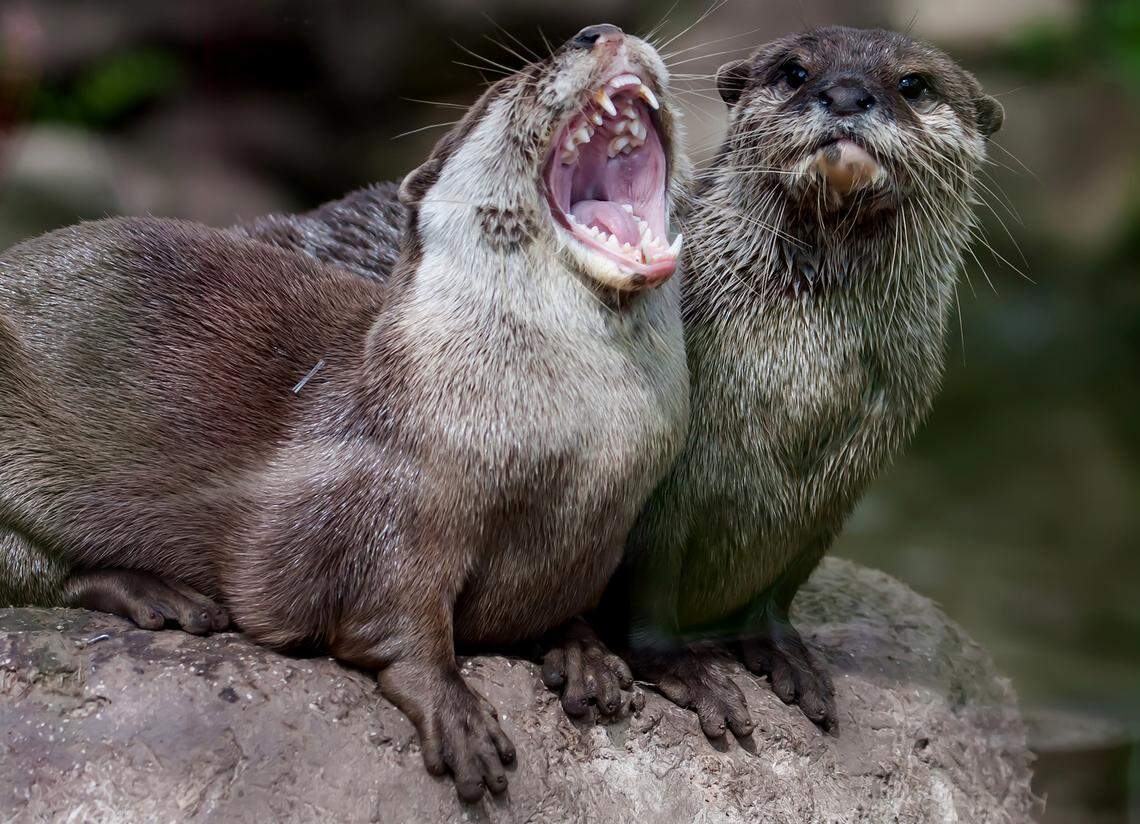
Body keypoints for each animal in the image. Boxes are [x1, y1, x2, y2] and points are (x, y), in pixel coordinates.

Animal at [0, 24, 688, 799]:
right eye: (506, 89)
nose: (599, 31)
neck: (569, 451)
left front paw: (584, 650)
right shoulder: (379, 499)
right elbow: (387, 614)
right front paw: (453, 708)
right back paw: (154, 592)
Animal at [580, 26, 1005, 738]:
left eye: (913, 84)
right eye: (795, 72)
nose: (846, 94)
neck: (798, 388)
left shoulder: (838, 495)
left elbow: (781, 588)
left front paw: (783, 654)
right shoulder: (665, 495)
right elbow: (648, 587)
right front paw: (684, 671)